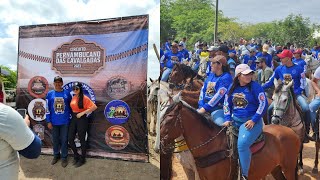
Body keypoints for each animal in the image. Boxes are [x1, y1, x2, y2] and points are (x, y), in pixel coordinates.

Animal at [161, 96, 302, 179]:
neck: (211, 146)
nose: (160, 144)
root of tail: (291, 131)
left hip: (289, 168)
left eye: (169, 119)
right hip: (275, 168)